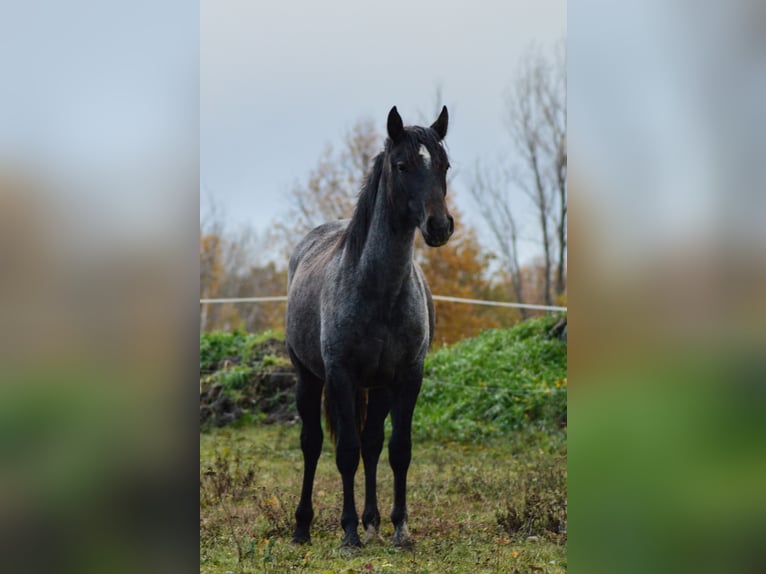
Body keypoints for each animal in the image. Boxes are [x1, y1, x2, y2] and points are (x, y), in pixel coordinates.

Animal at [286, 106, 456, 552]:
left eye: (445, 165)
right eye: (401, 165)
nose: (439, 226)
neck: (378, 289)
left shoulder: (407, 376)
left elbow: (397, 449)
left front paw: (399, 528)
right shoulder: (341, 376)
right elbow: (344, 450)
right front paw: (348, 532)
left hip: (377, 387)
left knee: (372, 444)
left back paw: (373, 521)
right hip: (308, 378)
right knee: (313, 444)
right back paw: (302, 526)